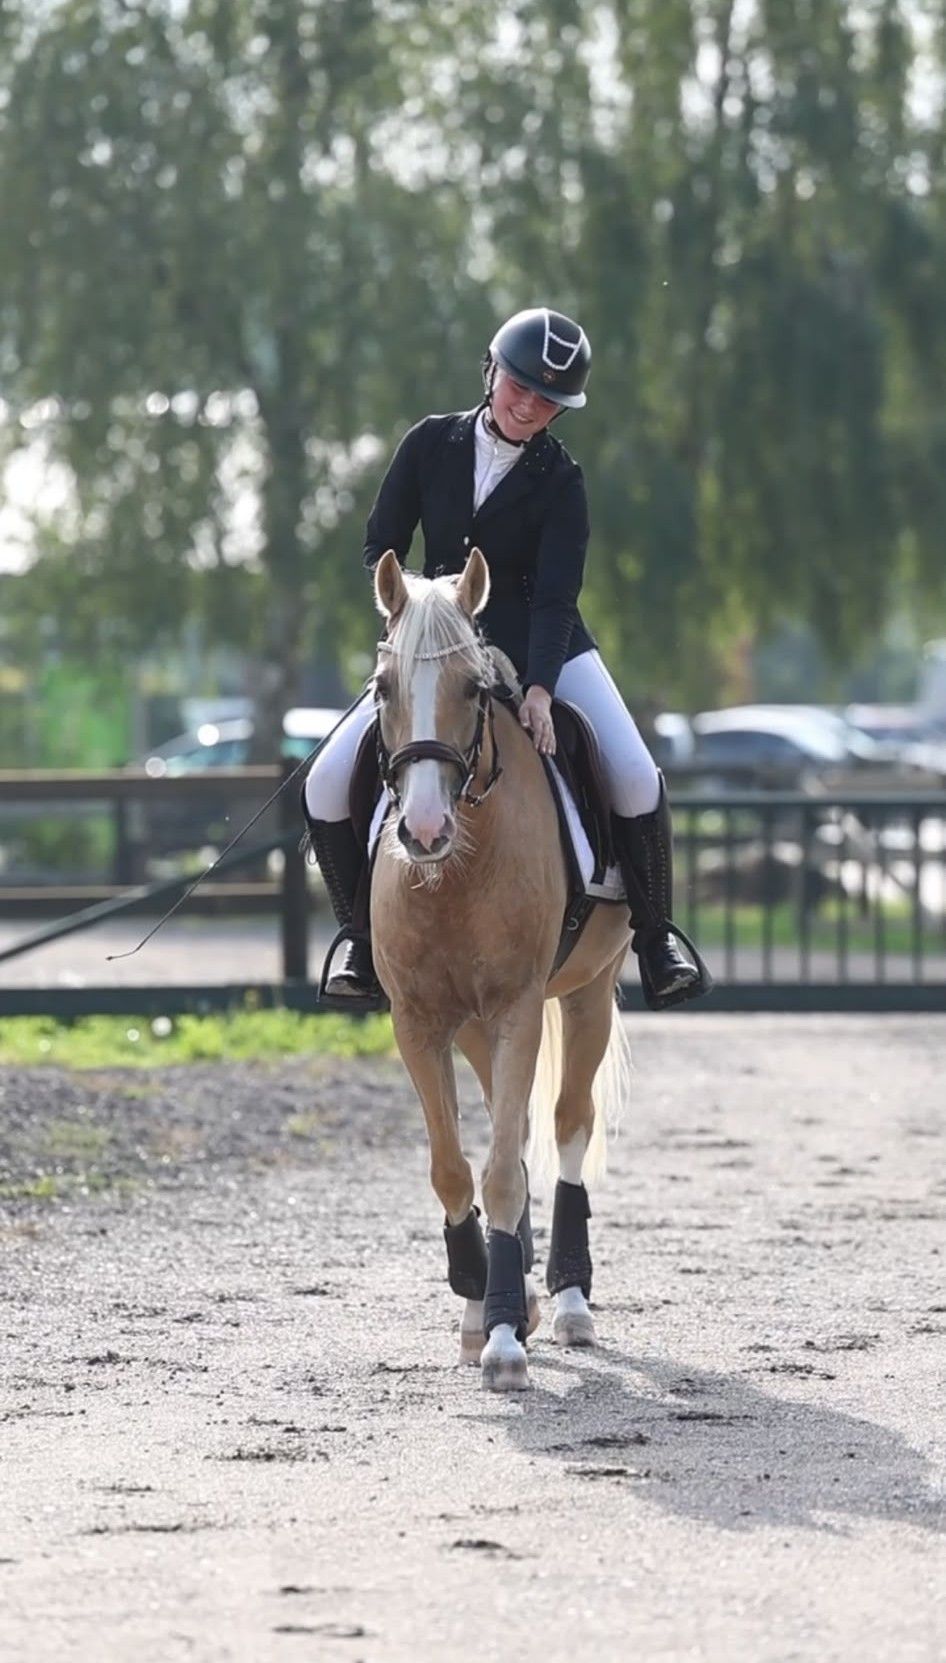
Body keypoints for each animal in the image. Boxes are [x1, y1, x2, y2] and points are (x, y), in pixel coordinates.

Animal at [370, 546, 632, 1392]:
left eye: (471, 689)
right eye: (383, 688)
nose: (423, 831)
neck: (457, 870)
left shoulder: (519, 1006)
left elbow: (508, 1171)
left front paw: (508, 1338)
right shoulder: (420, 1021)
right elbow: (458, 1170)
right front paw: (479, 1306)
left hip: (587, 994)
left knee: (568, 1124)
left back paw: (570, 1299)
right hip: (476, 1028)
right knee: (508, 1136)